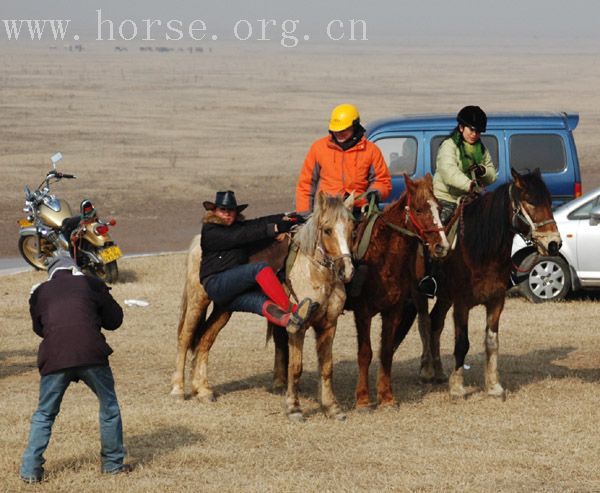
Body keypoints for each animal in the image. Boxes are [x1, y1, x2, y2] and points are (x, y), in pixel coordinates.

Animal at [171, 191, 354, 418]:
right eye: (327, 230)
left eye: (352, 229)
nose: (346, 271)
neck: (315, 274)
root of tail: (198, 242)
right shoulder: (298, 331)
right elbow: (296, 367)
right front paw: (294, 407)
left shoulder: (329, 325)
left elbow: (327, 367)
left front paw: (332, 407)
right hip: (198, 301)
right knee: (185, 339)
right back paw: (178, 390)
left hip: (224, 307)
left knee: (204, 341)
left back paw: (203, 390)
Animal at [346, 173, 450, 408]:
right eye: (419, 210)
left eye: (439, 208)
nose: (442, 246)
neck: (381, 259)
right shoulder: (362, 312)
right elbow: (365, 353)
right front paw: (363, 399)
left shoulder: (393, 310)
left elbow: (386, 351)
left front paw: (386, 397)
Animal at [394, 167, 564, 398]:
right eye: (529, 201)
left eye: (549, 201)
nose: (553, 243)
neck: (482, 251)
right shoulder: (461, 304)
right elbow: (462, 344)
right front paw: (457, 387)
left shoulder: (496, 301)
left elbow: (492, 342)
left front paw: (493, 386)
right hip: (419, 292)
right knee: (425, 324)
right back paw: (427, 370)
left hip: (445, 297)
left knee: (436, 323)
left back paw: (439, 371)